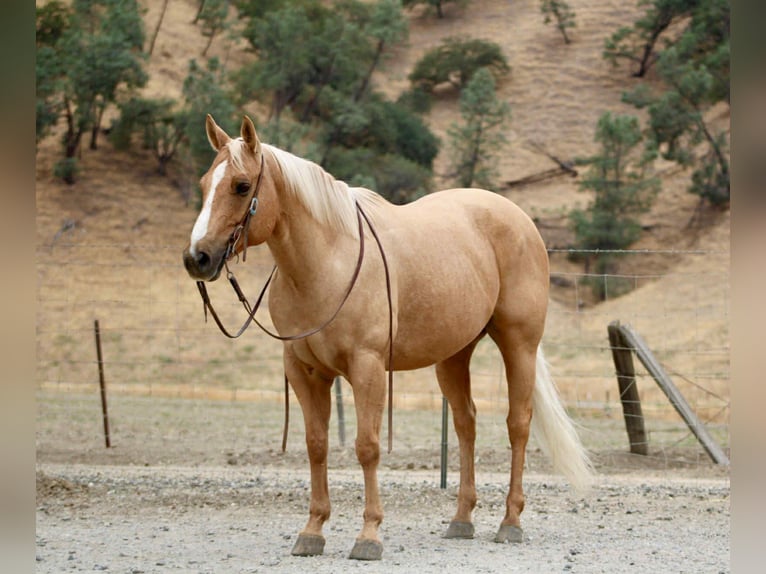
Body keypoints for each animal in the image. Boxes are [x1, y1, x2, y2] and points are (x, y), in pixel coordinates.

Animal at [182, 115, 593, 561]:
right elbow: (316, 444)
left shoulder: (368, 368)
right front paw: (313, 530)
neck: (326, 263)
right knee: (466, 424)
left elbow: (367, 446)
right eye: (204, 184)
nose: (197, 258)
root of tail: (518, 218)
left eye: (241, 186)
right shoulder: (305, 371)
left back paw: (510, 522)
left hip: (518, 344)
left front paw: (369, 535)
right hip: (453, 356)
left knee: (517, 424)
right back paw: (461, 520)